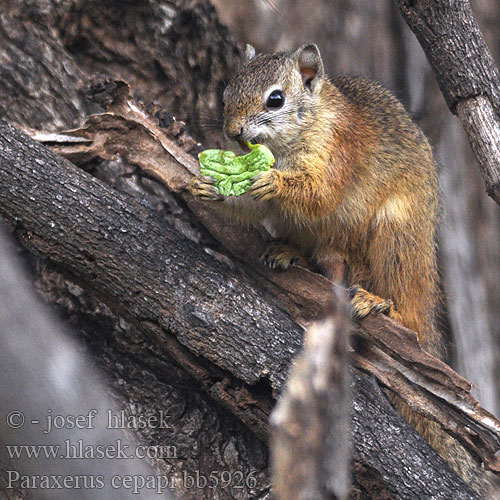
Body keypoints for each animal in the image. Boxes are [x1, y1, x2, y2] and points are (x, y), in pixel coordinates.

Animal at [189, 44, 486, 496]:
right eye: (225, 95)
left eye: (275, 99)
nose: (234, 132)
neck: (301, 132)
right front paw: (208, 185)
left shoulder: (339, 152)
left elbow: (319, 193)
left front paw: (273, 182)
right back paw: (288, 252)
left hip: (395, 236)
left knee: (406, 311)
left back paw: (380, 303)